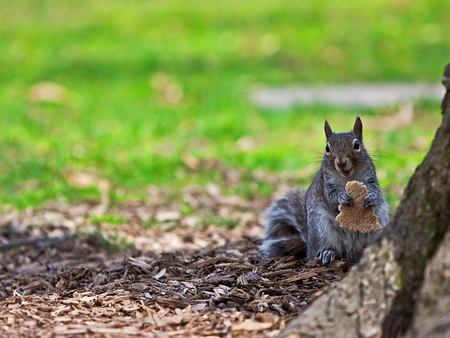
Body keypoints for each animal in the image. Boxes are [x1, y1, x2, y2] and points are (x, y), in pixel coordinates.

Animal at [260, 117, 390, 266]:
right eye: (327, 148)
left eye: (357, 145)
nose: (341, 162)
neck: (348, 177)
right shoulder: (326, 183)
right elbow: (330, 197)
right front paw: (342, 198)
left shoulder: (370, 177)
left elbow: (376, 191)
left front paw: (371, 198)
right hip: (320, 228)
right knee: (319, 252)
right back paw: (327, 253)